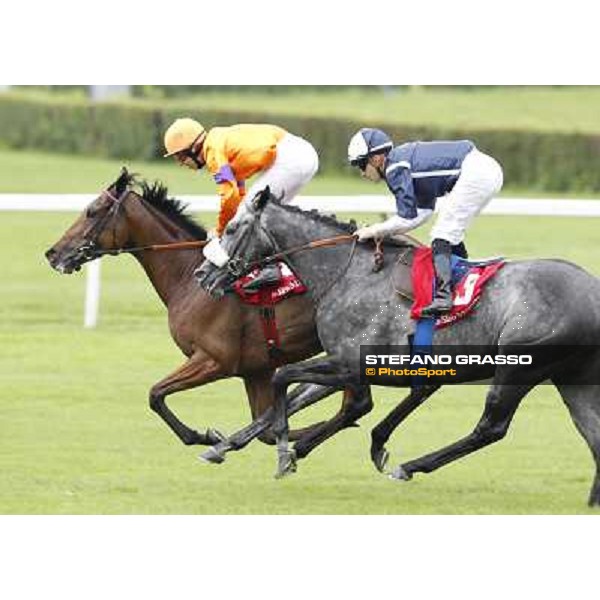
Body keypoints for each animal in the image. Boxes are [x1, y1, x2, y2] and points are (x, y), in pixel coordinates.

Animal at [199, 189, 600, 506]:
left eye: (232, 228)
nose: (202, 274)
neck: (348, 274)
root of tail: (593, 292)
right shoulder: (342, 360)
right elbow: (300, 395)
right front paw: (223, 446)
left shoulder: (354, 364)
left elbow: (289, 379)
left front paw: (287, 452)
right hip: (573, 378)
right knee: (593, 434)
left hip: (519, 367)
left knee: (491, 427)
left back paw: (409, 467)